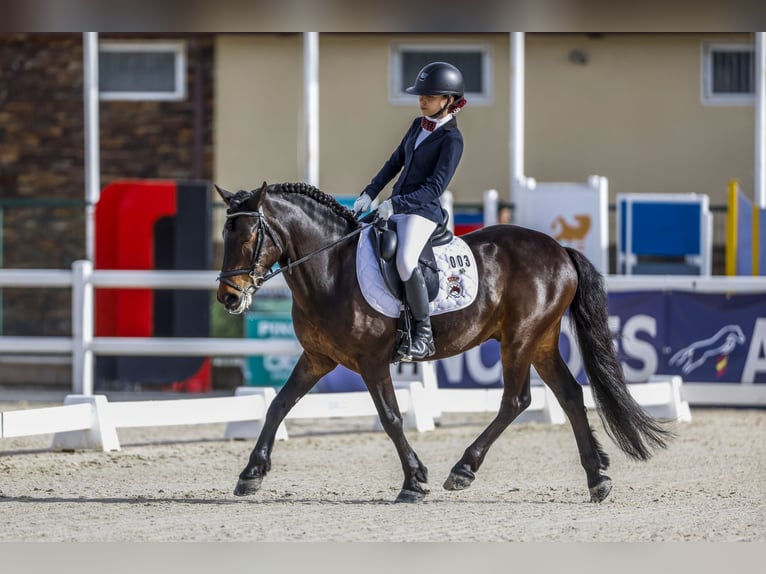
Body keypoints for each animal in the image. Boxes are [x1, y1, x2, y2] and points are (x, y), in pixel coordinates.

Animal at [215, 181, 672, 503]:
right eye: (225, 233)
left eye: (250, 236)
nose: (229, 298)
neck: (330, 268)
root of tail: (559, 248)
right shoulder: (318, 358)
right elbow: (278, 405)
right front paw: (251, 474)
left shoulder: (371, 361)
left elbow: (391, 418)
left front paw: (414, 481)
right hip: (540, 341)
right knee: (571, 395)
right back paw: (597, 478)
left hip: (520, 339)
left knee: (516, 401)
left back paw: (463, 469)